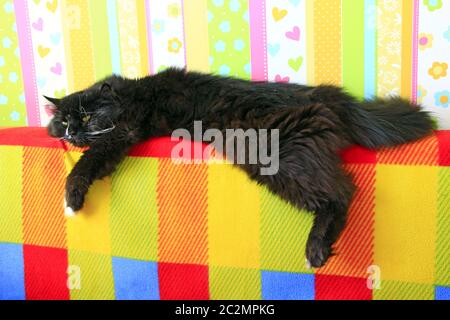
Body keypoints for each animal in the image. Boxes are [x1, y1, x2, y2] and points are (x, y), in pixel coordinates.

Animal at [44, 67, 432, 268]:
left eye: (86, 117)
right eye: (62, 122)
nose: (72, 131)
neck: (126, 94)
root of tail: (326, 95)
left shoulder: (122, 131)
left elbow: (86, 163)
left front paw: (71, 202)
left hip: (278, 155)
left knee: (341, 192)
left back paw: (316, 250)